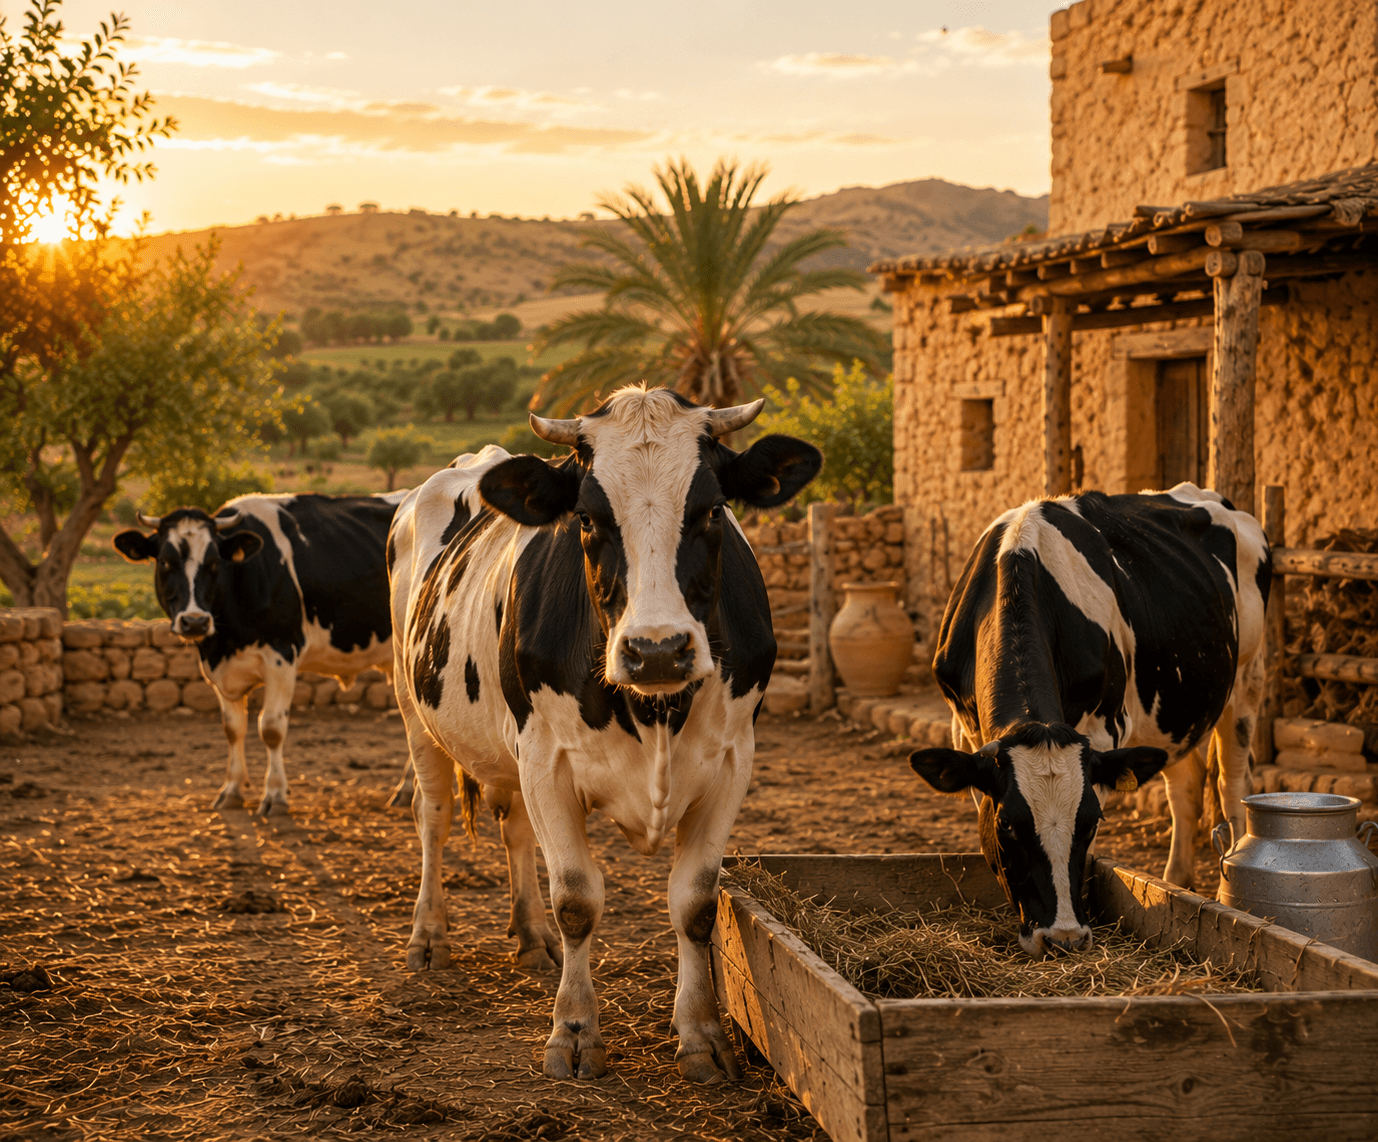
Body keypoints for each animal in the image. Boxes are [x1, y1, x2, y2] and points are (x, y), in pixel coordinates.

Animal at [113, 492, 413, 817]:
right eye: (166, 562)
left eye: (213, 563)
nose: (195, 621)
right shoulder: (219, 668)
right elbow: (233, 728)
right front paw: (231, 791)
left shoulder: (281, 656)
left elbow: (271, 727)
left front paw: (275, 795)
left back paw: (409, 788)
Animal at [388, 385, 820, 1083]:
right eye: (588, 520)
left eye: (712, 510)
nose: (658, 650)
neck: (655, 713)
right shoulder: (547, 760)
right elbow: (577, 899)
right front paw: (573, 1032)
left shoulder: (732, 762)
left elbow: (696, 904)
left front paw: (702, 1036)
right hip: (416, 714)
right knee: (435, 816)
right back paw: (429, 936)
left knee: (513, 828)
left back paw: (531, 937)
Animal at [908, 484, 1269, 957]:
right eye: (1007, 825)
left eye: (1091, 820)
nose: (1061, 938)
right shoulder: (964, 732)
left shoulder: (1104, 730)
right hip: (1173, 712)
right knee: (1185, 785)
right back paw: (1176, 881)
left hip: (1246, 677)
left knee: (1231, 781)